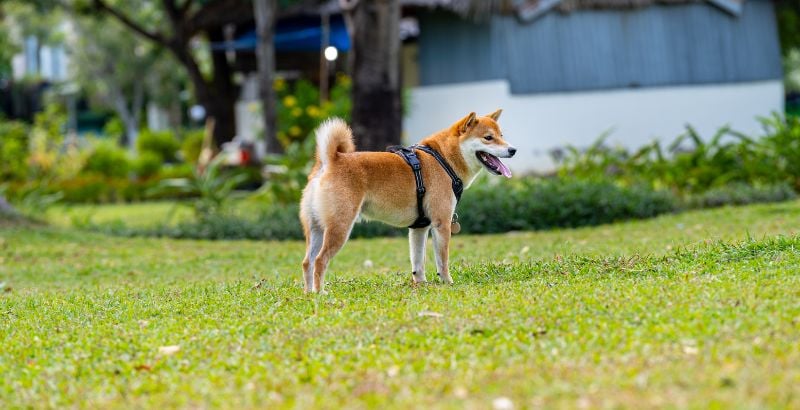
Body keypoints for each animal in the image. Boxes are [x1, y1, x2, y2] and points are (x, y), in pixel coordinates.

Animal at [302, 110, 520, 294]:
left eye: (501, 135)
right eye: (488, 138)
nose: (513, 149)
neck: (444, 160)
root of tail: (330, 161)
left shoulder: (419, 228)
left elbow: (418, 263)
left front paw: (421, 284)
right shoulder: (441, 224)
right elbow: (443, 261)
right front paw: (447, 282)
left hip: (316, 230)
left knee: (307, 262)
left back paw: (308, 293)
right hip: (340, 227)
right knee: (320, 260)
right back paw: (320, 293)